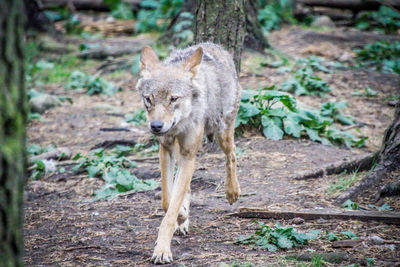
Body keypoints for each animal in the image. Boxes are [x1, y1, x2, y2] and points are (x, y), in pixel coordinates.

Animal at [137, 43, 241, 264]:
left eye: (173, 99)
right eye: (149, 99)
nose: (156, 126)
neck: (181, 123)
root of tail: (215, 46)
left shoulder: (188, 154)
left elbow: (171, 207)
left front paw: (162, 250)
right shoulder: (167, 149)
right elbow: (167, 200)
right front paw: (181, 216)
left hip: (222, 133)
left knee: (232, 154)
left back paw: (232, 192)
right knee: (186, 187)